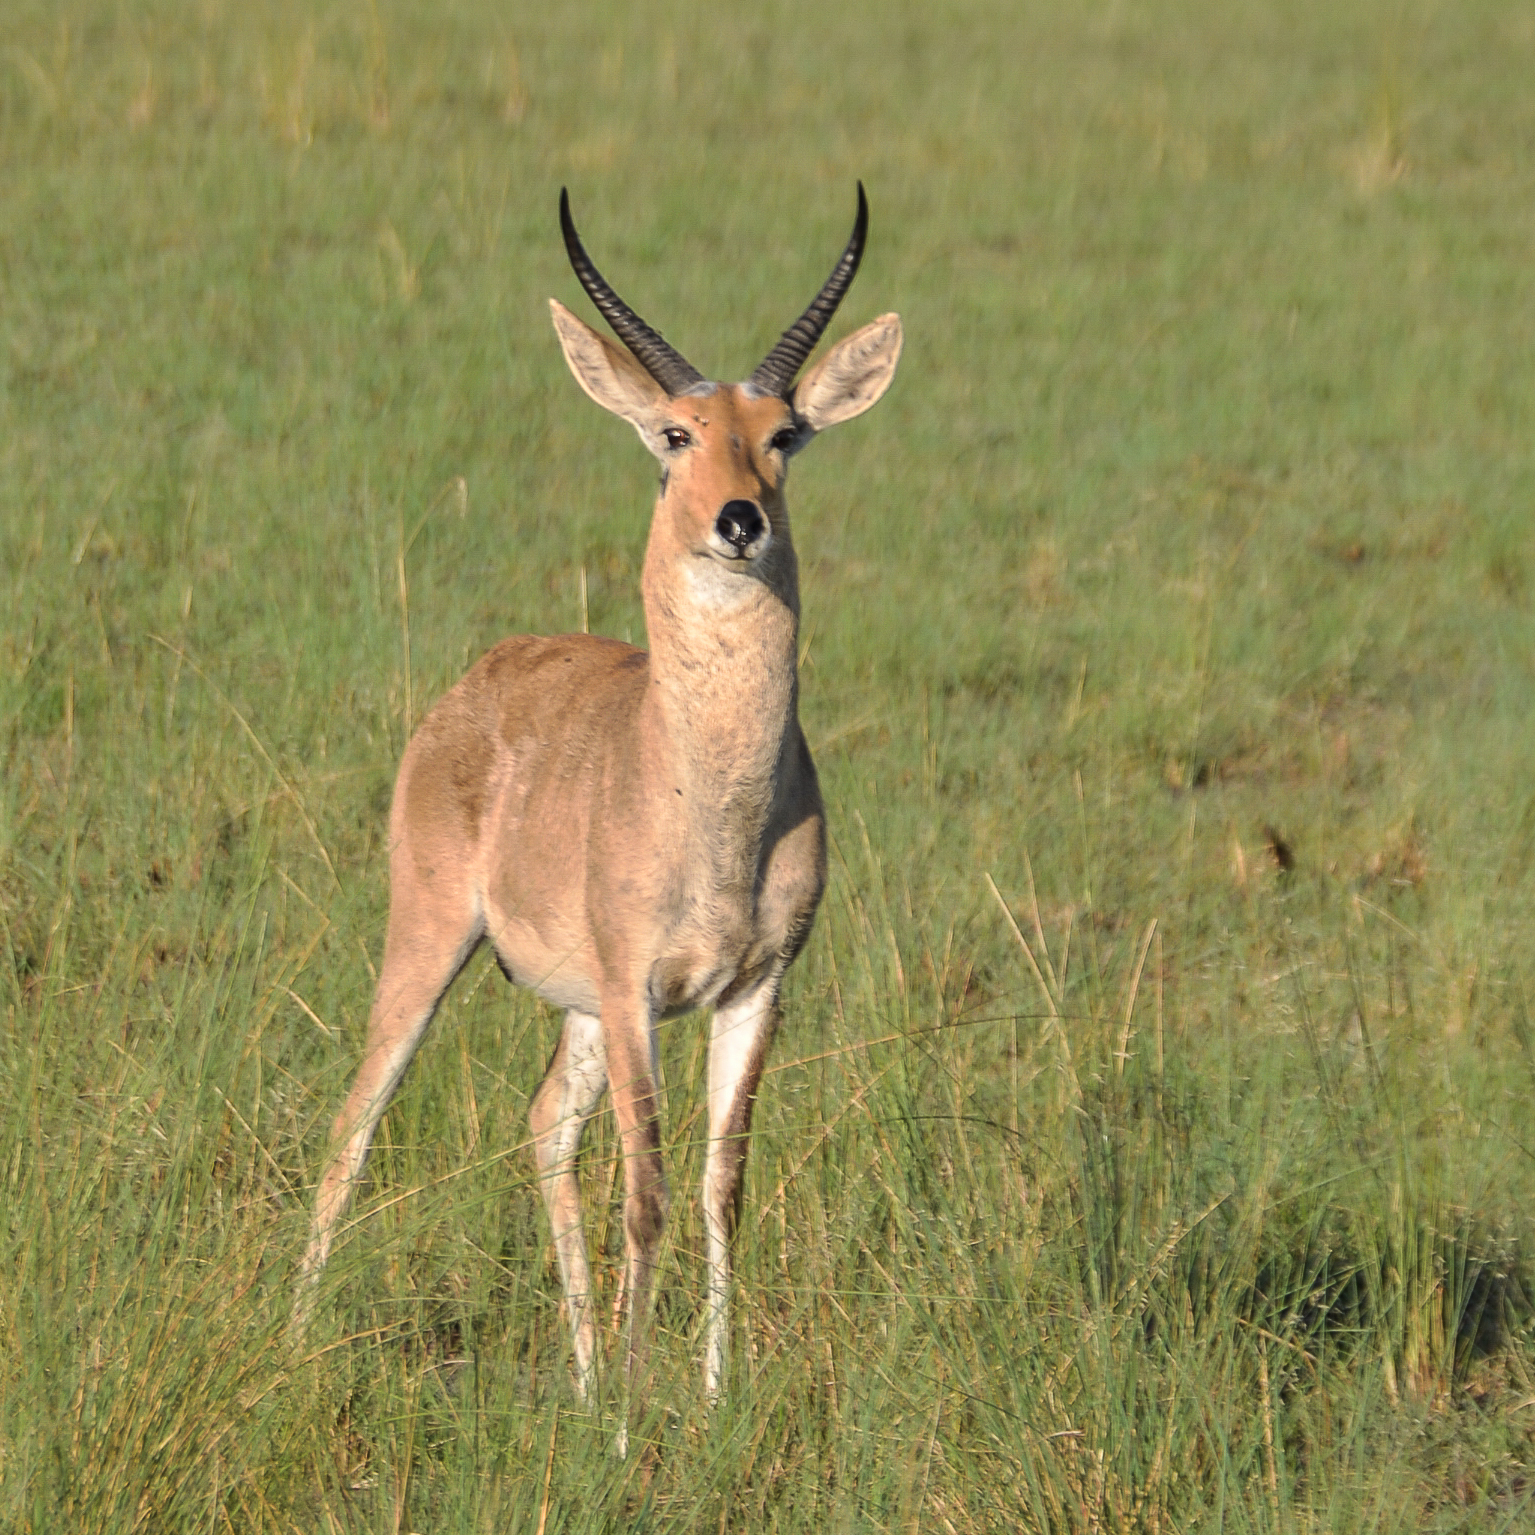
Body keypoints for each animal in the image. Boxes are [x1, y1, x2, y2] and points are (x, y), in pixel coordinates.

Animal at [299, 185, 896, 1406]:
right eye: (674, 433)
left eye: (781, 435)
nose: (737, 520)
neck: (710, 805)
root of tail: (477, 679)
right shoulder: (634, 993)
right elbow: (649, 1192)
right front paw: (631, 1411)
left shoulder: (754, 987)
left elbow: (720, 1188)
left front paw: (708, 1398)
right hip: (432, 941)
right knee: (354, 1122)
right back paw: (287, 1338)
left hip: (569, 1005)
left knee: (543, 1126)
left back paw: (575, 1377)